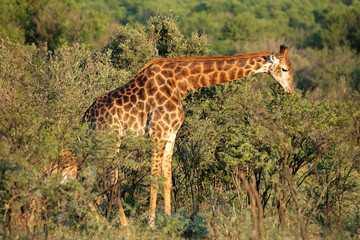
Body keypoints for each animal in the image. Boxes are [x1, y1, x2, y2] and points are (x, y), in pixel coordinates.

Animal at [83, 45, 294, 227]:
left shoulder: (171, 133)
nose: (290, 90)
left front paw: (169, 220)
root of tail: (87, 115)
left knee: (90, 175)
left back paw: (95, 219)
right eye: (284, 69)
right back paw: (122, 225)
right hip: (110, 140)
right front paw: (151, 224)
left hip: (98, 142)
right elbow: (154, 177)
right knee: (109, 179)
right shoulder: (158, 132)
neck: (181, 84)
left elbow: (167, 178)